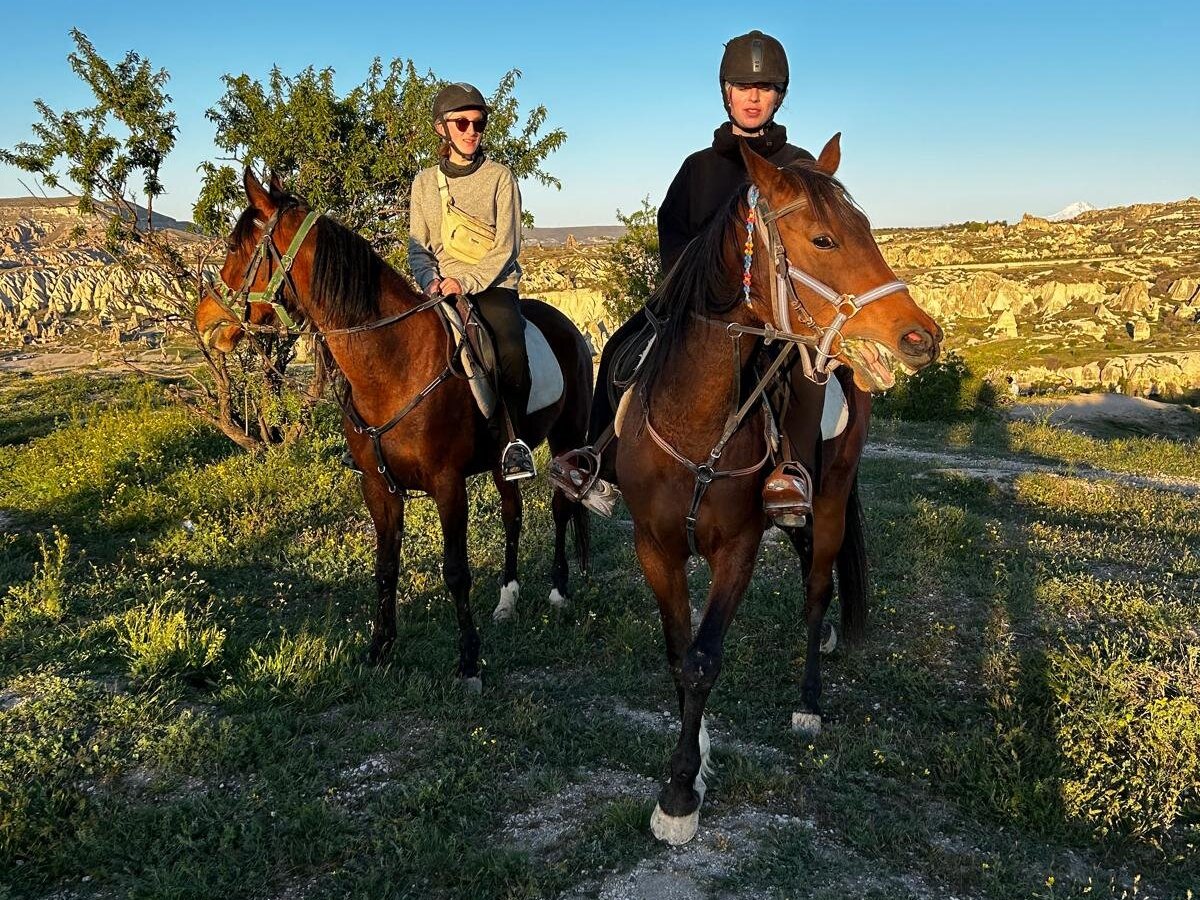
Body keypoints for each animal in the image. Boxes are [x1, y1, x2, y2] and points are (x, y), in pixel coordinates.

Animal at [211, 170, 595, 691]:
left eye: (236, 246)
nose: (207, 319)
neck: (394, 364)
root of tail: (570, 328)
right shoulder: (379, 487)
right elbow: (385, 566)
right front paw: (380, 648)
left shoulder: (449, 486)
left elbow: (456, 572)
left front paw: (468, 662)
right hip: (503, 463)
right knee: (514, 515)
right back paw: (508, 600)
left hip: (567, 438)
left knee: (561, 508)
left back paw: (558, 592)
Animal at [619, 139, 945, 844]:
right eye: (823, 238)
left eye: (868, 227)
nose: (921, 337)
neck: (697, 425)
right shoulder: (654, 546)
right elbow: (678, 653)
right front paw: (696, 758)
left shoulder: (738, 549)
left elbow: (703, 659)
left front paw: (679, 792)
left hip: (831, 494)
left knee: (818, 585)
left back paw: (810, 697)